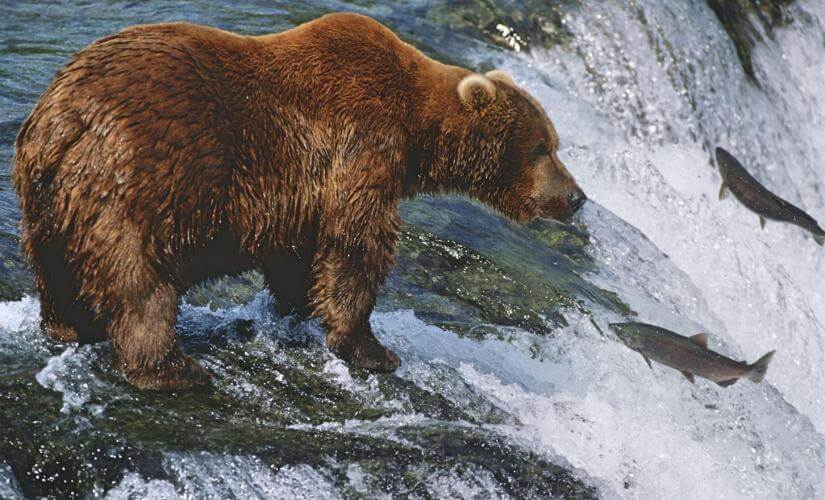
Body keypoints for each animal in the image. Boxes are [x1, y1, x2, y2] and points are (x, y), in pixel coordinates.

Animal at [13, 13, 586, 390]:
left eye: (556, 143)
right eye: (542, 148)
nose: (577, 197)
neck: (415, 126)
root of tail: (62, 115)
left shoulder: (300, 193)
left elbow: (298, 253)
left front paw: (301, 308)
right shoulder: (363, 143)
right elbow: (357, 242)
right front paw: (372, 349)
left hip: (47, 193)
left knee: (54, 265)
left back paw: (68, 325)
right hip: (142, 178)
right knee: (139, 277)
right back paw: (170, 368)